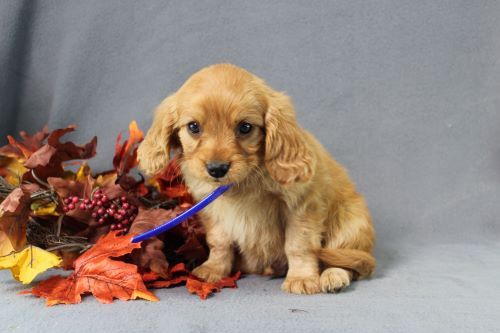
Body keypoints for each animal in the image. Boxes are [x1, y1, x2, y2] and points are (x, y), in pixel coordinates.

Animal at [137, 63, 376, 292]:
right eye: (194, 127)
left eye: (245, 127)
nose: (217, 169)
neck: (243, 182)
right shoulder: (212, 210)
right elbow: (219, 242)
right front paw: (214, 269)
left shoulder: (301, 206)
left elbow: (298, 245)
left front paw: (301, 278)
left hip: (350, 223)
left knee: (348, 261)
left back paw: (333, 276)